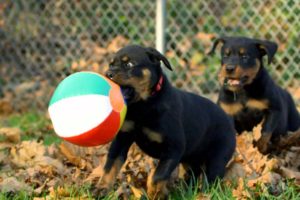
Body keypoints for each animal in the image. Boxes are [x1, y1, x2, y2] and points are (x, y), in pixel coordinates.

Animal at [100, 45, 237, 197]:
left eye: (129, 64)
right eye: (111, 64)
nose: (108, 73)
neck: (143, 104)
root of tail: (229, 120)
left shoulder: (174, 147)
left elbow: (158, 176)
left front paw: (154, 192)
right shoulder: (122, 138)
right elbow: (110, 166)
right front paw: (101, 190)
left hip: (218, 158)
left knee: (211, 180)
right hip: (191, 160)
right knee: (192, 176)